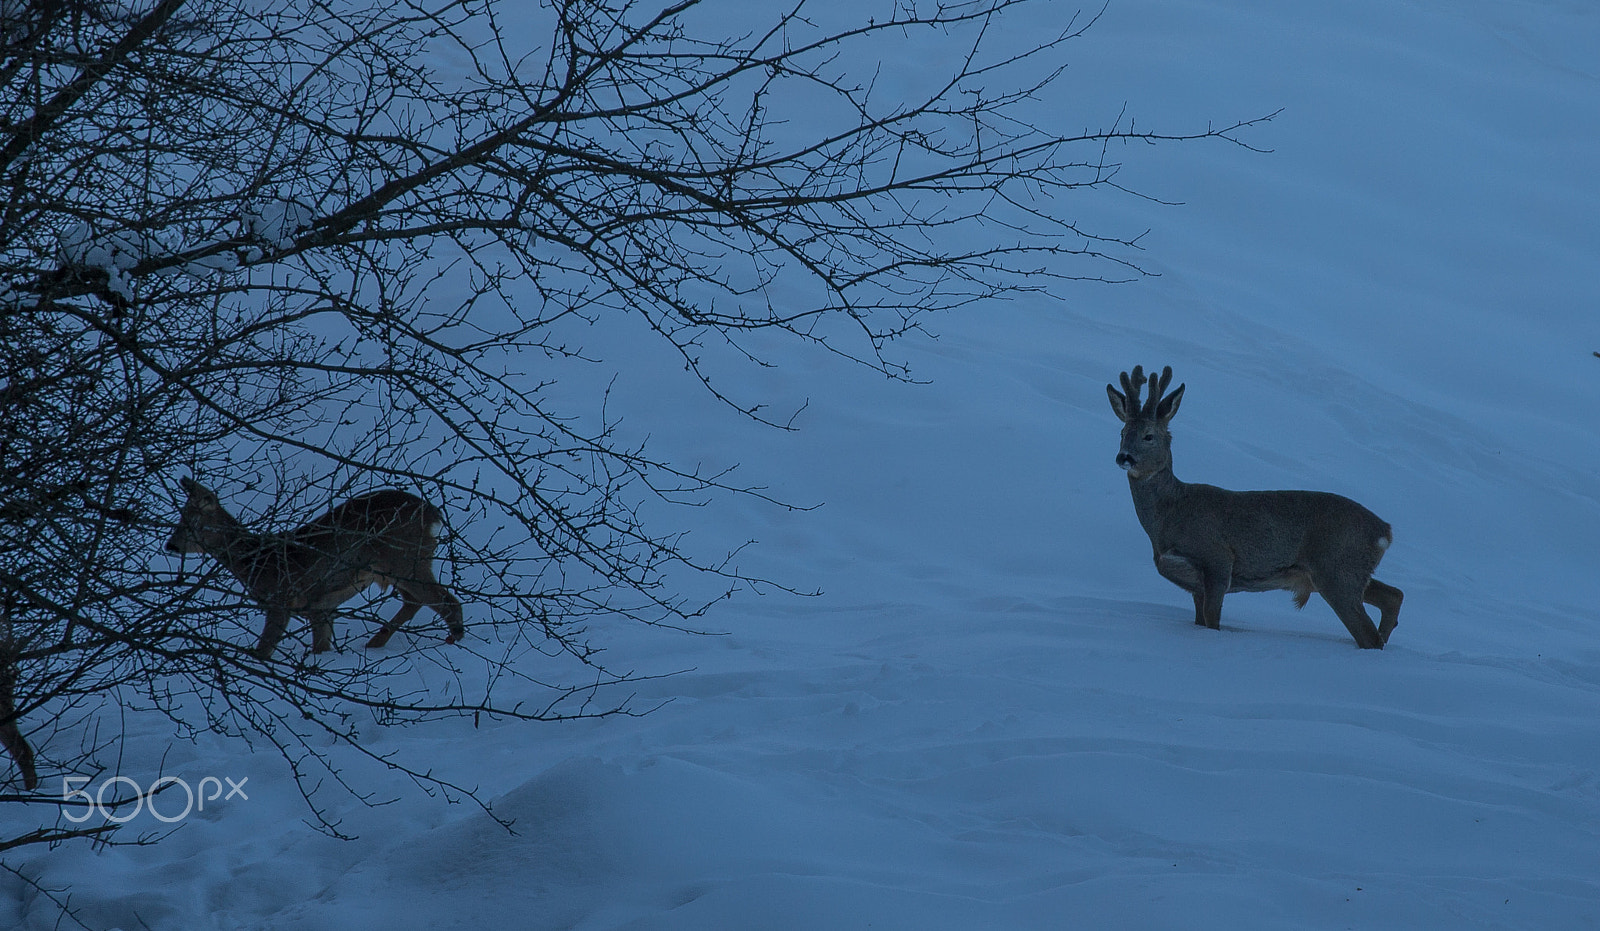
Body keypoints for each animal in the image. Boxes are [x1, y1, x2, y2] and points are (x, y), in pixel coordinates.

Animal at [171, 483, 467, 665]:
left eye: (192, 522)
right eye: (181, 518)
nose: (170, 545)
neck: (256, 560)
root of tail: (433, 513)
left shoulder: (282, 598)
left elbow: (264, 648)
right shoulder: (320, 604)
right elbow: (321, 643)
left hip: (405, 560)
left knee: (446, 600)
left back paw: (453, 639)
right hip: (398, 566)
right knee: (416, 600)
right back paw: (374, 643)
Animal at [1113, 364, 1401, 649]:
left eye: (1148, 436)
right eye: (1122, 433)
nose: (1124, 457)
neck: (1171, 514)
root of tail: (1385, 531)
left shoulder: (1218, 559)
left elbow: (1212, 620)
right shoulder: (1195, 585)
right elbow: (1201, 620)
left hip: (1337, 571)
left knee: (1369, 634)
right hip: (1347, 573)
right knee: (1393, 595)